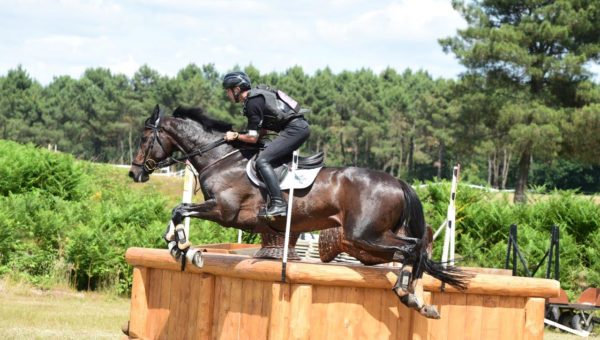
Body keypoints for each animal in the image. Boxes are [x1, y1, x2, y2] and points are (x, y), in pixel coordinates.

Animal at [129, 105, 472, 318]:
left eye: (145, 137)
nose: (134, 173)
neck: (222, 158)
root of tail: (399, 181)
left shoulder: (225, 212)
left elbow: (180, 210)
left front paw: (185, 248)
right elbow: (178, 212)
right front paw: (177, 245)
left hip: (364, 235)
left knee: (412, 249)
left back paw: (407, 294)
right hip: (370, 239)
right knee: (413, 252)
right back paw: (421, 302)